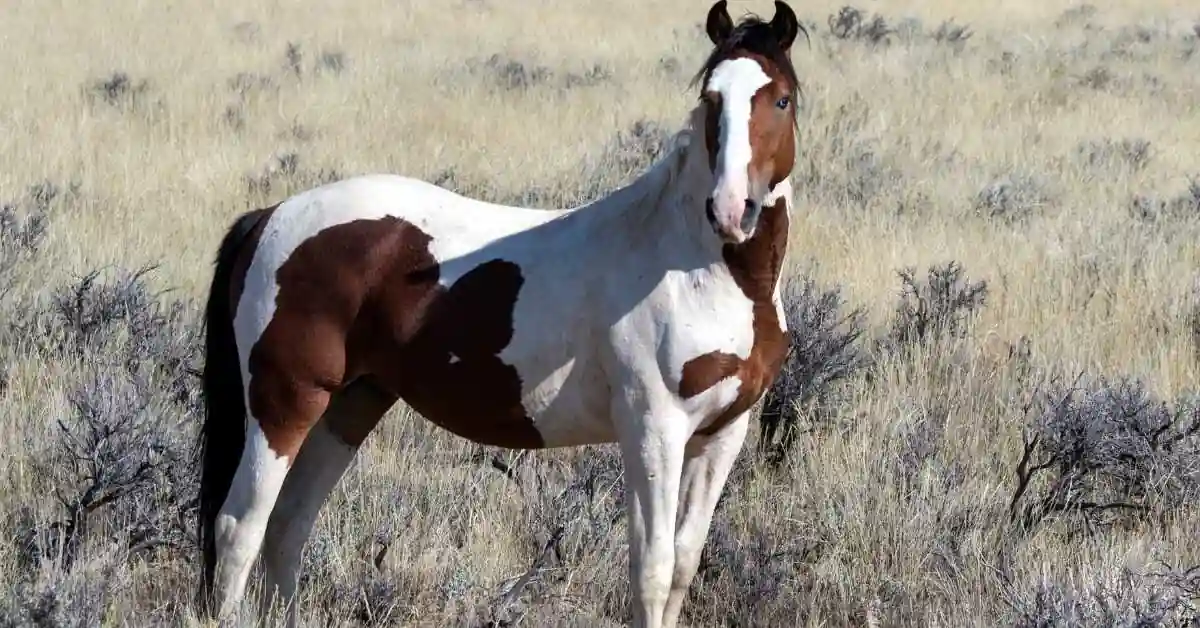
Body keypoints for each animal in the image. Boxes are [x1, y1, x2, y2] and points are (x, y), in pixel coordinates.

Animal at [196, 2, 805, 626]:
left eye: (781, 99)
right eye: (712, 98)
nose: (731, 210)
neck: (694, 266)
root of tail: (271, 216)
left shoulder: (722, 433)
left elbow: (683, 564)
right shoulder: (653, 428)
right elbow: (652, 571)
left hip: (350, 404)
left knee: (288, 527)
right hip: (284, 404)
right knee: (239, 528)